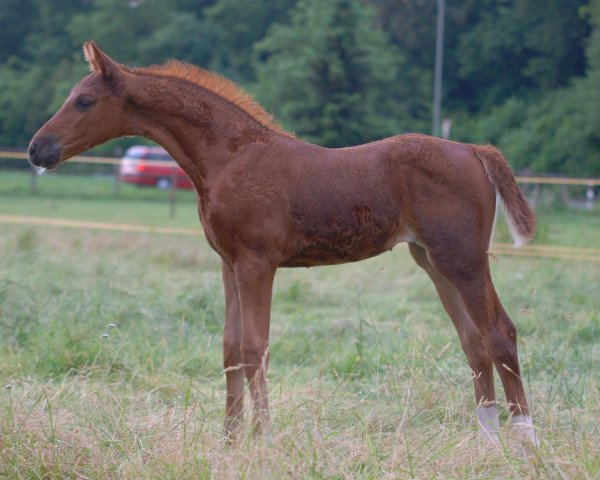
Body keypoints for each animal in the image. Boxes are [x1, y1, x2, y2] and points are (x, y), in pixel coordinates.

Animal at [30, 43, 540, 444]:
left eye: (84, 101)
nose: (38, 149)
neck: (231, 157)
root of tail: (473, 150)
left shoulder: (258, 263)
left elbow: (255, 347)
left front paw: (264, 437)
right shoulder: (229, 264)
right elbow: (231, 349)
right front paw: (229, 441)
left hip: (464, 259)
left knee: (499, 332)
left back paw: (524, 441)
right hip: (432, 260)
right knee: (473, 341)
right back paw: (486, 441)